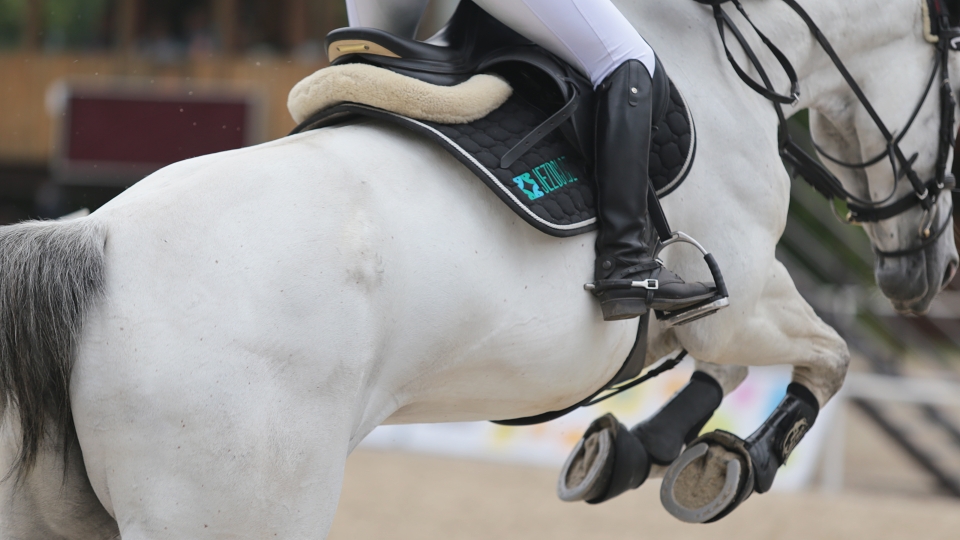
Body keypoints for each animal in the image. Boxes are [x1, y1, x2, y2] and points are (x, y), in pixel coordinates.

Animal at [1, 0, 957, 537]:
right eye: (956, 88)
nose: (926, 273)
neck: (728, 60)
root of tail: (86, 243)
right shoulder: (737, 295)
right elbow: (828, 354)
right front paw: (729, 464)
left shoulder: (727, 306)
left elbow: (744, 363)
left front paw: (631, 451)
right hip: (241, 508)